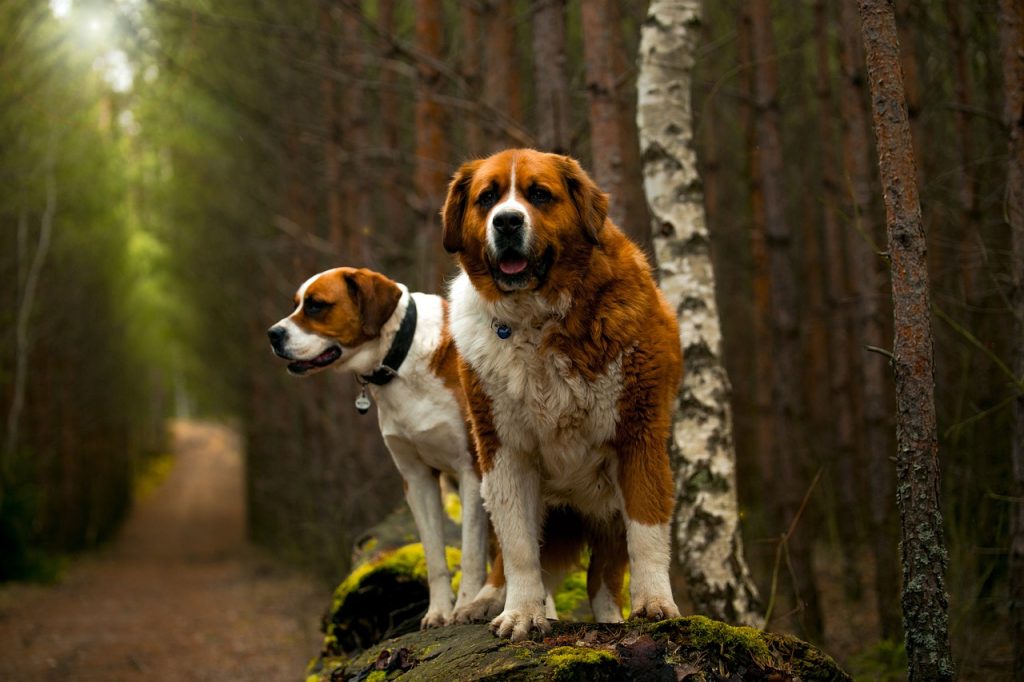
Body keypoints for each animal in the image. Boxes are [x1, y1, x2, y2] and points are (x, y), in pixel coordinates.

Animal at [268, 266, 491, 626]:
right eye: (296, 304)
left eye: (316, 305)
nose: (272, 334)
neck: (400, 361)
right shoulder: (417, 479)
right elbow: (433, 556)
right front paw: (438, 612)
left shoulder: (470, 471)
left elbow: (471, 554)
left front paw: (463, 606)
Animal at [440, 147, 679, 638]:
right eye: (487, 197)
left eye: (539, 195)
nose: (507, 222)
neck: (536, 319)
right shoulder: (503, 449)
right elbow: (518, 546)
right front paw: (521, 613)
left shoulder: (639, 434)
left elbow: (646, 530)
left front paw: (655, 604)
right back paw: (483, 601)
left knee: (602, 578)